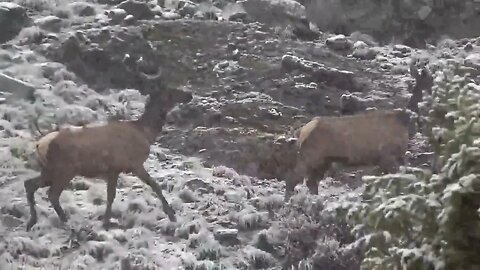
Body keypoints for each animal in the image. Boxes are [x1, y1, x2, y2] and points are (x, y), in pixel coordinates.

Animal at [23, 87, 193, 231]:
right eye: (172, 91)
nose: (189, 95)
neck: (146, 133)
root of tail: (39, 144)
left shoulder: (115, 170)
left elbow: (112, 195)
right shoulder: (129, 165)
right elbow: (152, 186)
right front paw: (171, 215)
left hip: (49, 170)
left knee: (29, 184)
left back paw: (32, 221)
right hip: (64, 170)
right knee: (51, 194)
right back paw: (65, 221)